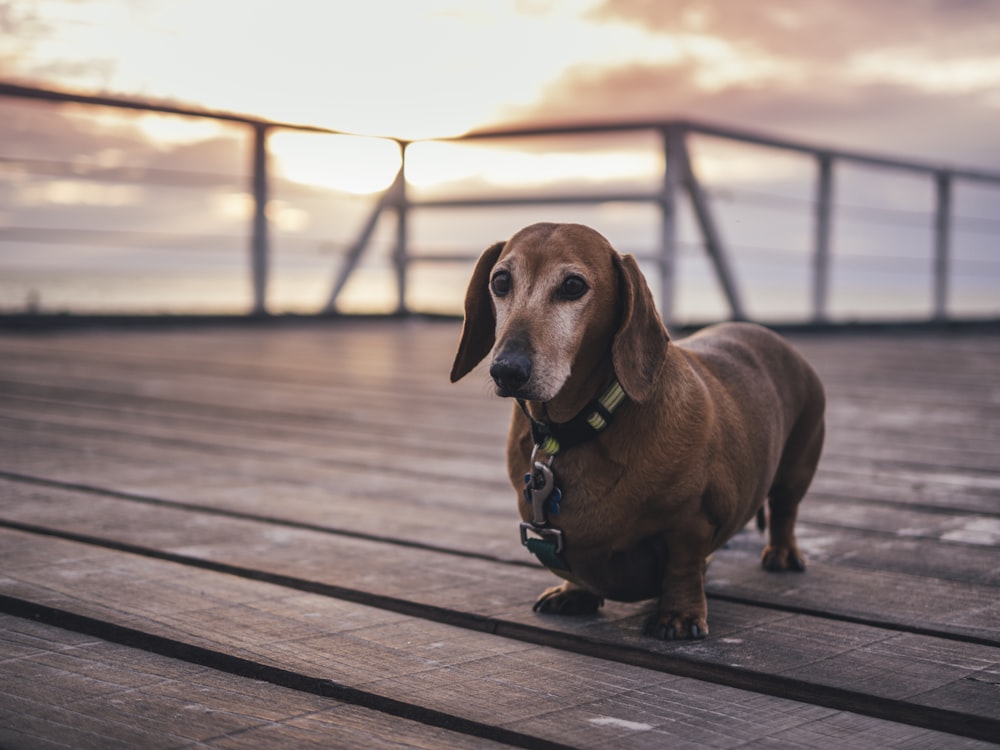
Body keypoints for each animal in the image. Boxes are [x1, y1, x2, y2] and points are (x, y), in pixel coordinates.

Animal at [450, 222, 824, 640]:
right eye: (500, 281)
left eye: (573, 286)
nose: (507, 370)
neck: (574, 430)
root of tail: (773, 337)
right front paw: (573, 592)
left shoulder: (692, 521)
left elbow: (683, 566)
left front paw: (679, 615)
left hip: (798, 464)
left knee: (785, 510)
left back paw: (782, 553)